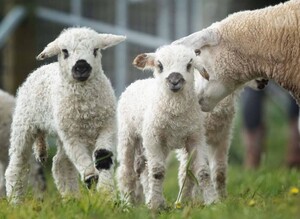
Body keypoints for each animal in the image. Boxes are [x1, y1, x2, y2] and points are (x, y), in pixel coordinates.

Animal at [5, 26, 125, 203]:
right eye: (65, 51)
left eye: (95, 50)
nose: (81, 67)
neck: (86, 108)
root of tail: (41, 68)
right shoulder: (72, 135)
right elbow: (82, 160)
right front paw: (91, 179)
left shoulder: (107, 127)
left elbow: (103, 156)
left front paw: (107, 196)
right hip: (24, 124)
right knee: (17, 165)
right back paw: (15, 201)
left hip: (59, 130)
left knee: (60, 164)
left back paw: (71, 197)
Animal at [116, 44, 217, 209]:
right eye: (160, 65)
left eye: (189, 65)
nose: (174, 80)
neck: (175, 112)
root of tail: (137, 82)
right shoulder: (153, 138)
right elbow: (158, 172)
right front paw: (155, 205)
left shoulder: (195, 137)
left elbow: (203, 171)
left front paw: (213, 202)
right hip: (128, 135)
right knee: (127, 171)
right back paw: (128, 203)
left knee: (144, 169)